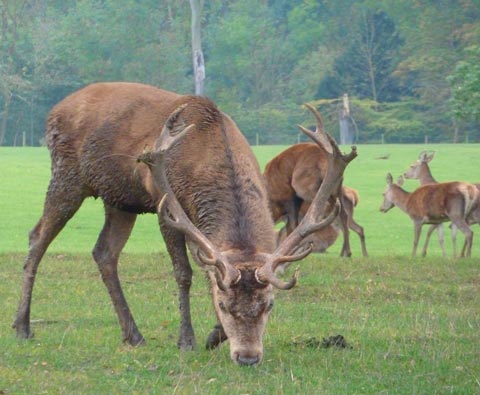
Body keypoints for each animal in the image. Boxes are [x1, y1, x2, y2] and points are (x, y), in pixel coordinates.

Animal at [12, 82, 356, 366]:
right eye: (224, 305)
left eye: (269, 305)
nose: (247, 357)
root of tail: (53, 111)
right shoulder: (168, 207)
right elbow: (184, 273)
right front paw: (187, 340)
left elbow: (210, 271)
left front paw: (215, 336)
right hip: (67, 175)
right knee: (37, 237)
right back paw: (22, 326)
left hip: (120, 200)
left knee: (104, 252)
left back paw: (133, 334)